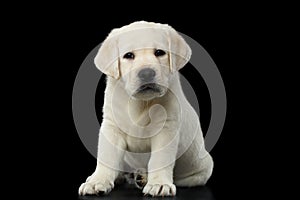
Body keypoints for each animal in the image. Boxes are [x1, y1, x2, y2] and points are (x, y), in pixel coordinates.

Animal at [78, 20, 212, 197]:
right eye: (128, 55)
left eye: (159, 52)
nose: (146, 73)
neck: (140, 103)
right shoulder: (112, 127)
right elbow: (106, 157)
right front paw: (97, 181)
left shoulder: (166, 128)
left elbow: (160, 159)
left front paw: (159, 184)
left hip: (202, 167)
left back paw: (145, 178)